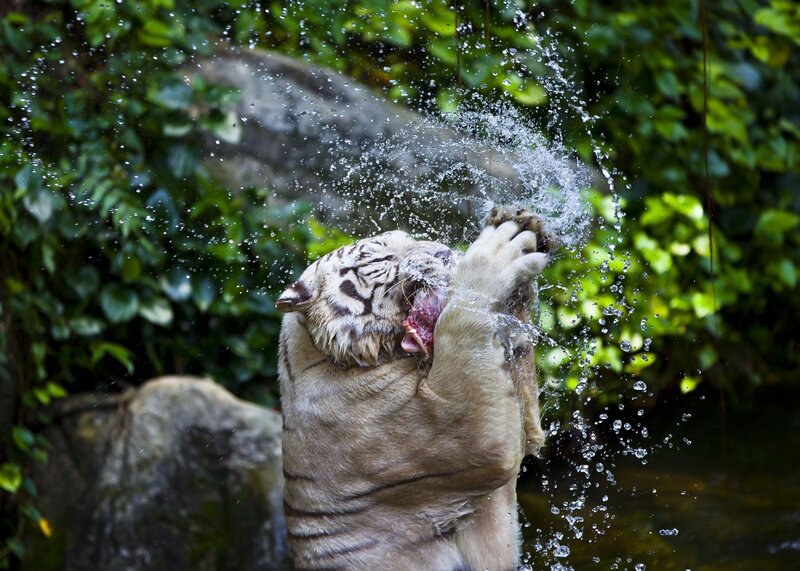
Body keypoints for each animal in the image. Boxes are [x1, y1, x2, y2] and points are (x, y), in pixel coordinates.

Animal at [276, 207, 554, 570]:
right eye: (382, 257)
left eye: (410, 238)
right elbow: (463, 318)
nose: (442, 252)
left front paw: (523, 225)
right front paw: (498, 250)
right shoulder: (464, 433)